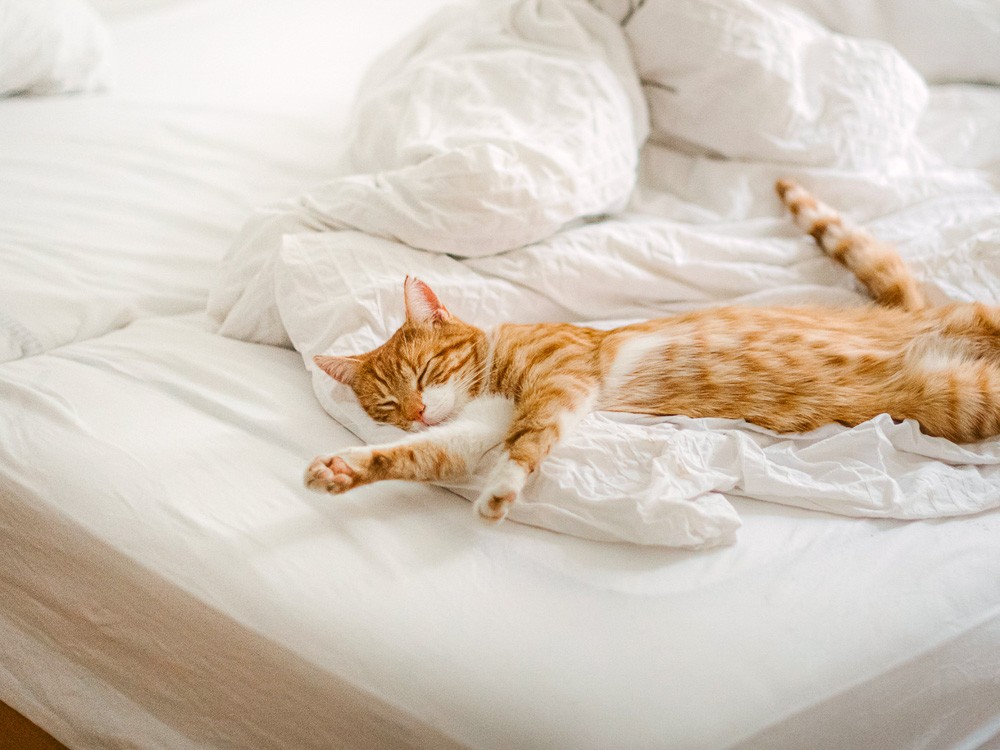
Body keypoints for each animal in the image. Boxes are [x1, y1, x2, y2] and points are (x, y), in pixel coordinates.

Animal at [302, 181, 1000, 524]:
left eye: (424, 370)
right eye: (388, 405)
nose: (419, 410)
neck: (490, 375)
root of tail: (912, 316)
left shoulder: (561, 381)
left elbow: (528, 440)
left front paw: (501, 490)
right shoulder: (473, 430)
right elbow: (420, 455)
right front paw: (345, 469)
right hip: (966, 394)